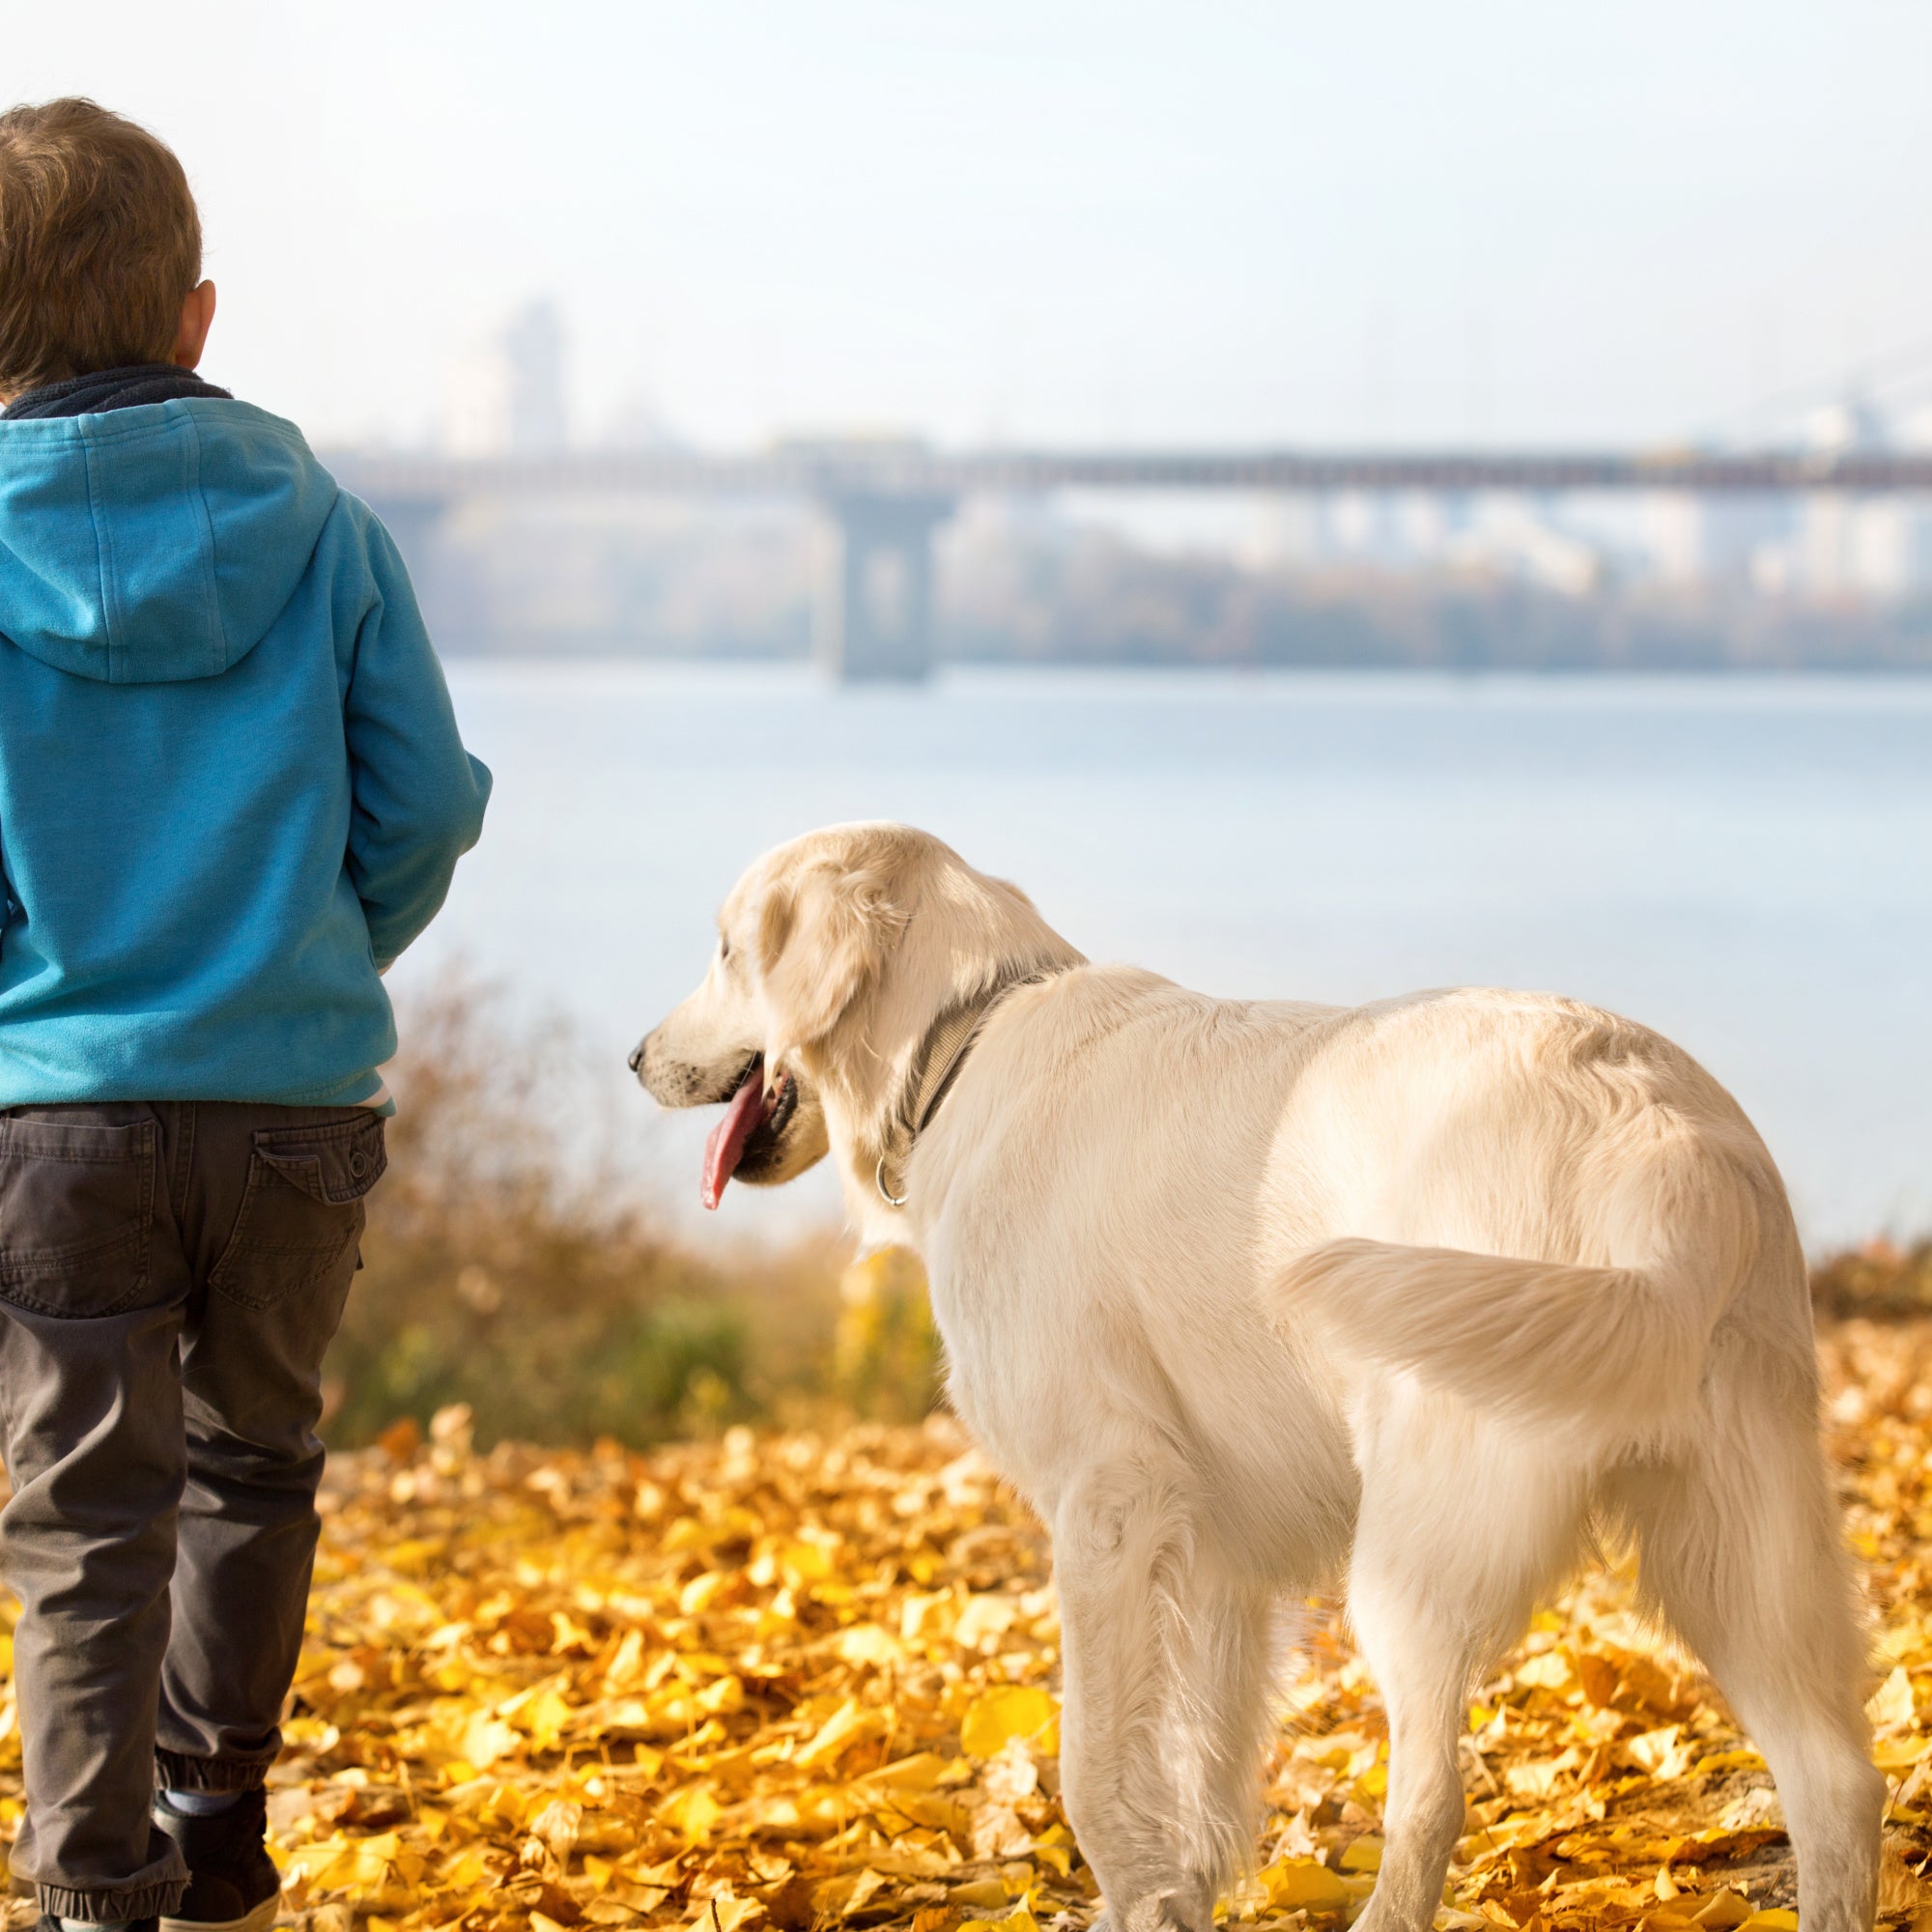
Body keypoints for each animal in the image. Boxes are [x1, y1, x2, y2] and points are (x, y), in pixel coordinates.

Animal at [634, 819, 1886, 1932]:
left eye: (724, 949)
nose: (635, 1057)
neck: (963, 1040)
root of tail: (1653, 1135)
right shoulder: (1220, 1548)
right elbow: (1201, 1764)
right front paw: (1172, 1899)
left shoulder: (1107, 1500)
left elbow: (1094, 1761)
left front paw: (1132, 1895)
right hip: (1732, 1550)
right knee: (1836, 1780)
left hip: (1413, 1562)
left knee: (1431, 1799)